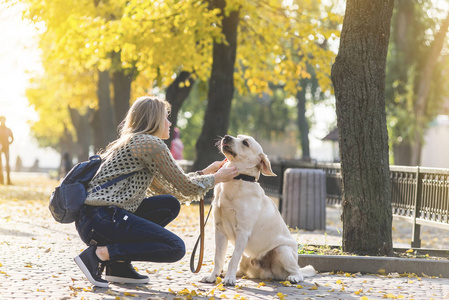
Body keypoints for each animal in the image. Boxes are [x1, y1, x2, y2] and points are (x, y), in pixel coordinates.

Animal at [200, 134, 316, 286]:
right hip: (246, 255)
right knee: (241, 269)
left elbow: (233, 259)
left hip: (282, 250)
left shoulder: (242, 232)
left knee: (297, 271)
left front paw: (229, 279)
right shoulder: (219, 230)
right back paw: (225, 274)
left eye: (245, 143)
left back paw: (294, 277)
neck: (237, 180)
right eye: (237, 137)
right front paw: (213, 277)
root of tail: (267, 275)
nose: (226, 137)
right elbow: (218, 257)